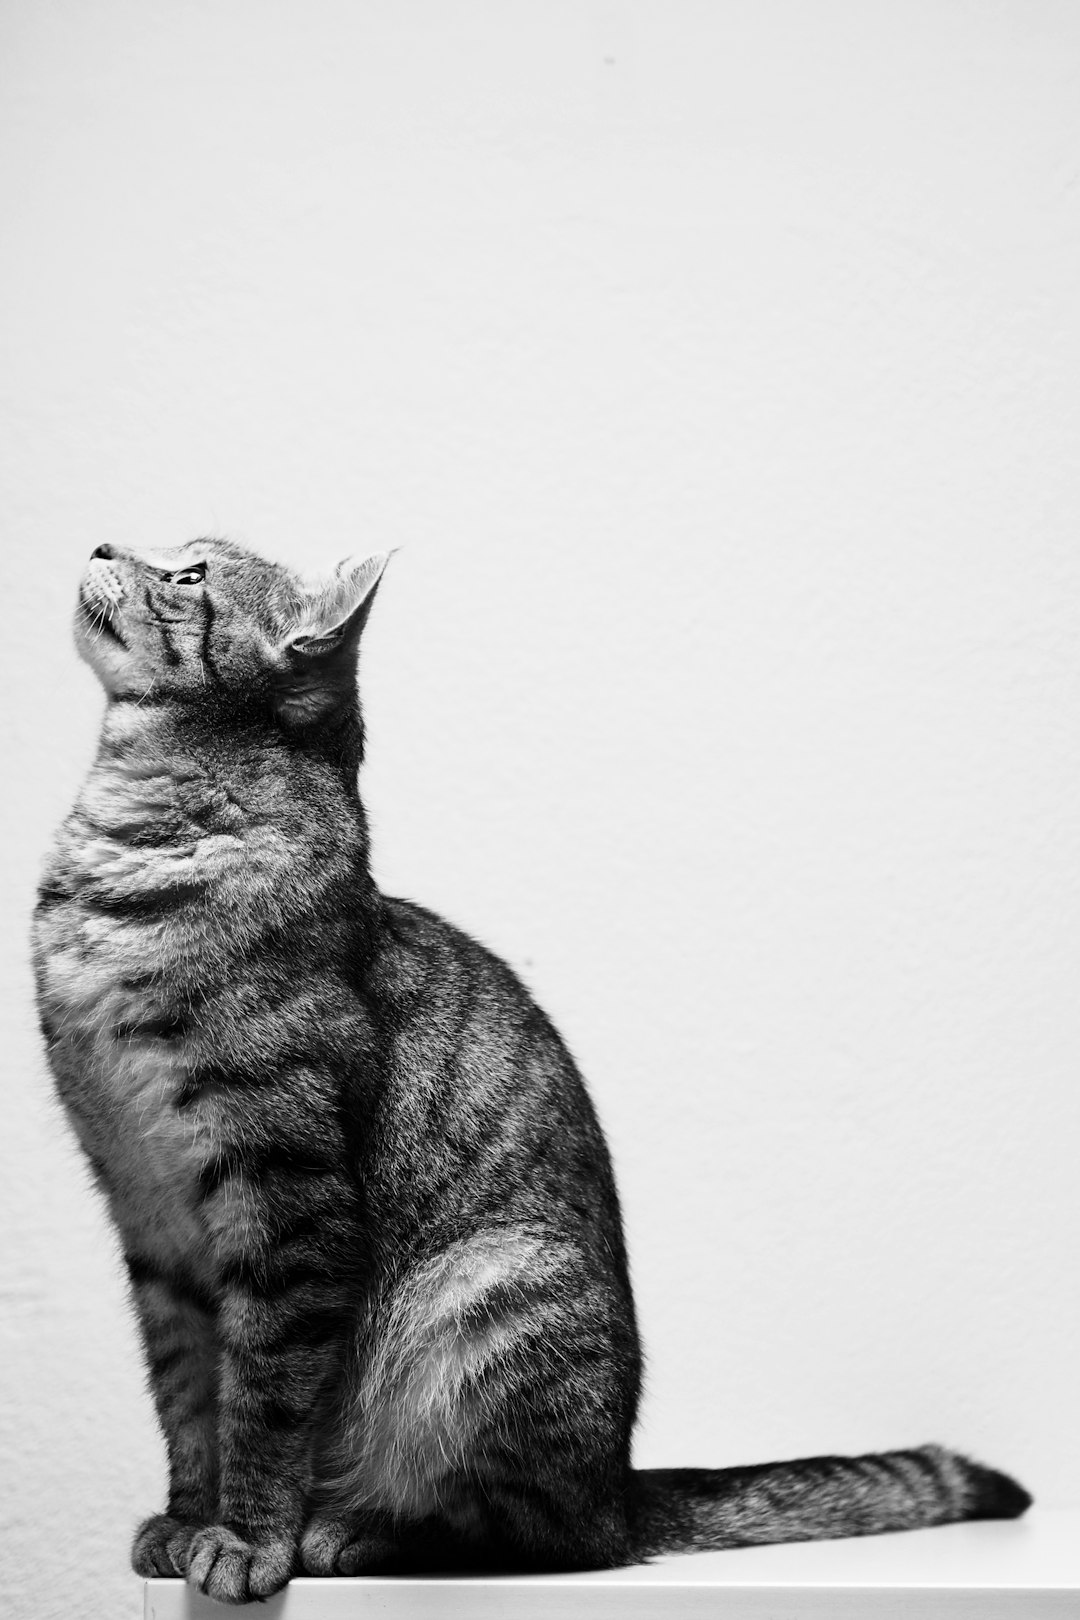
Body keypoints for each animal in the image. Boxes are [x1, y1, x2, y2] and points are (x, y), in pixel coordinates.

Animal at [33, 541, 1029, 1607]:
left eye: (189, 574)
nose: (101, 545)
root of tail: (621, 1485)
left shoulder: (287, 1198)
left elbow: (263, 1398)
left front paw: (249, 1538)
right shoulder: (148, 1217)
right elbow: (187, 1400)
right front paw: (187, 1521)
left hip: (484, 1302)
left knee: (545, 1536)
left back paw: (357, 1531)